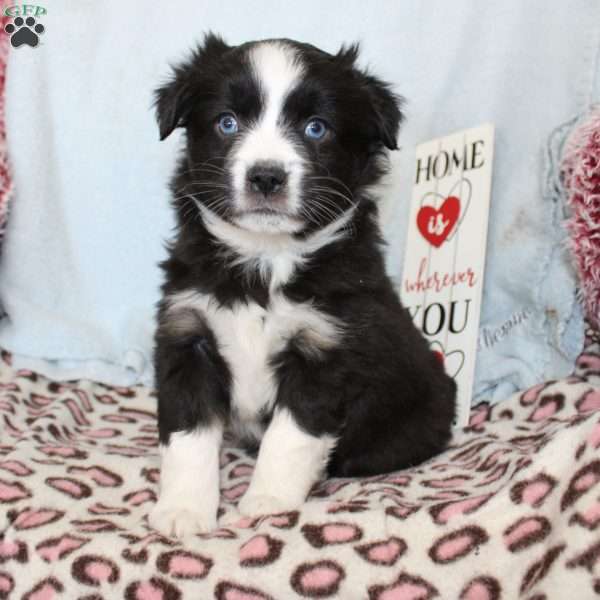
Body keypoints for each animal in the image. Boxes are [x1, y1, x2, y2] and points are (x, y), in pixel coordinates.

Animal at [149, 34, 454, 540]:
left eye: (316, 128)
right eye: (227, 122)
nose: (266, 176)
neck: (263, 263)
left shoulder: (326, 347)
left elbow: (291, 434)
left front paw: (268, 501)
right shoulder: (187, 331)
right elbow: (189, 434)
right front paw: (184, 510)